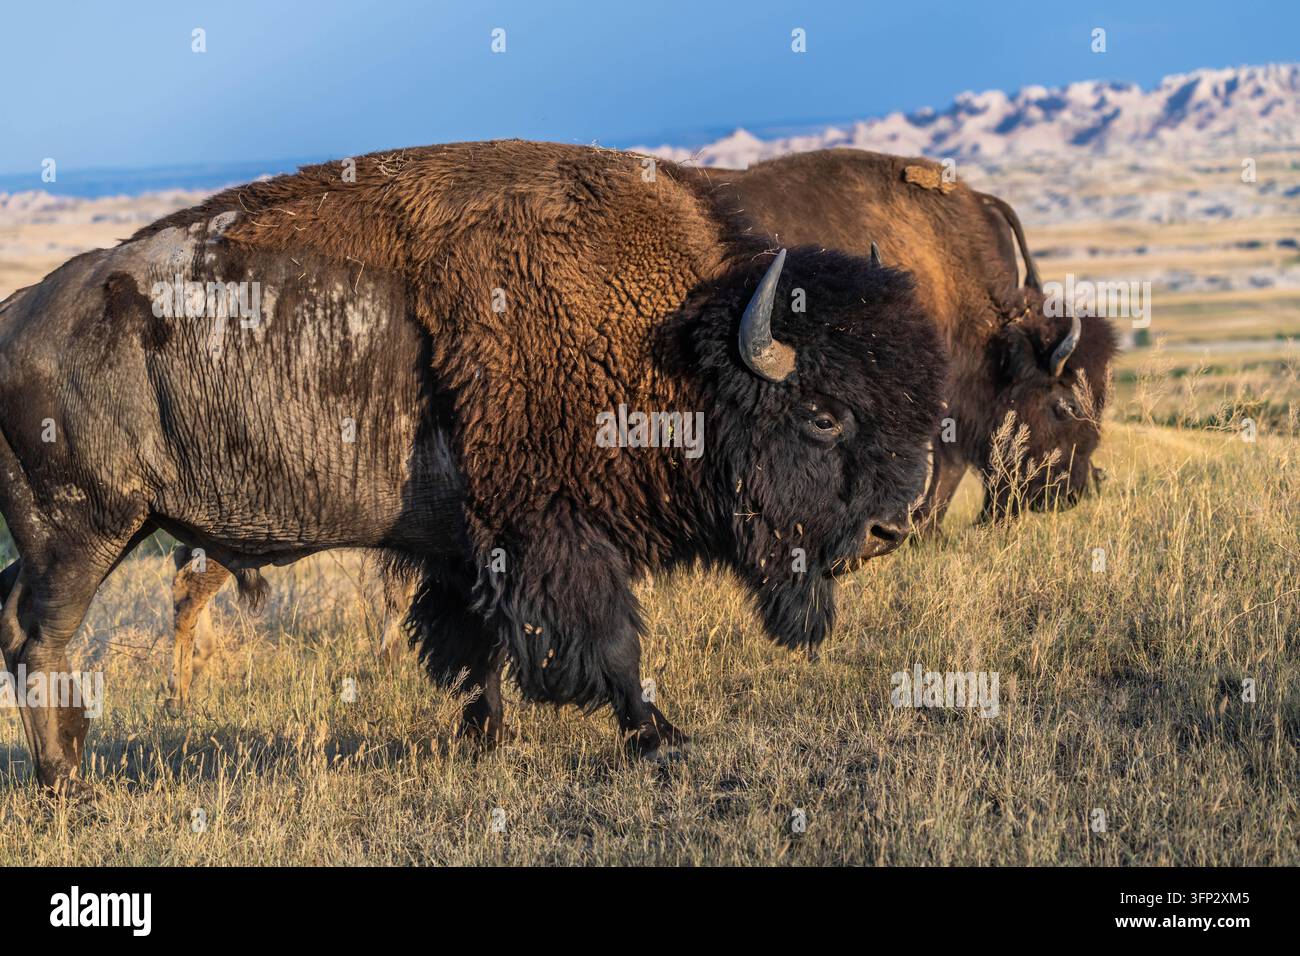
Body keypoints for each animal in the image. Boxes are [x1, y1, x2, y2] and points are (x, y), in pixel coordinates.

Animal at [0, 141, 947, 795]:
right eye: (823, 414)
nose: (892, 526)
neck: (673, 349)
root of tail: (19, 314)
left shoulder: (474, 546)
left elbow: (480, 642)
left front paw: (485, 733)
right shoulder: (551, 533)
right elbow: (608, 640)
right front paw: (659, 734)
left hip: (83, 537)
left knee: (20, 625)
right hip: (85, 532)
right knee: (41, 637)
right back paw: (67, 785)